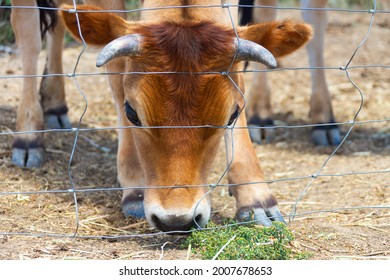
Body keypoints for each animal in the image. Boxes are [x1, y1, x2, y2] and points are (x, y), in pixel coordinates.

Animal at [59, 0, 312, 232]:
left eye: (232, 115)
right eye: (131, 113)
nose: (176, 221)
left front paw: (256, 199)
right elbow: (117, 73)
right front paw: (135, 188)